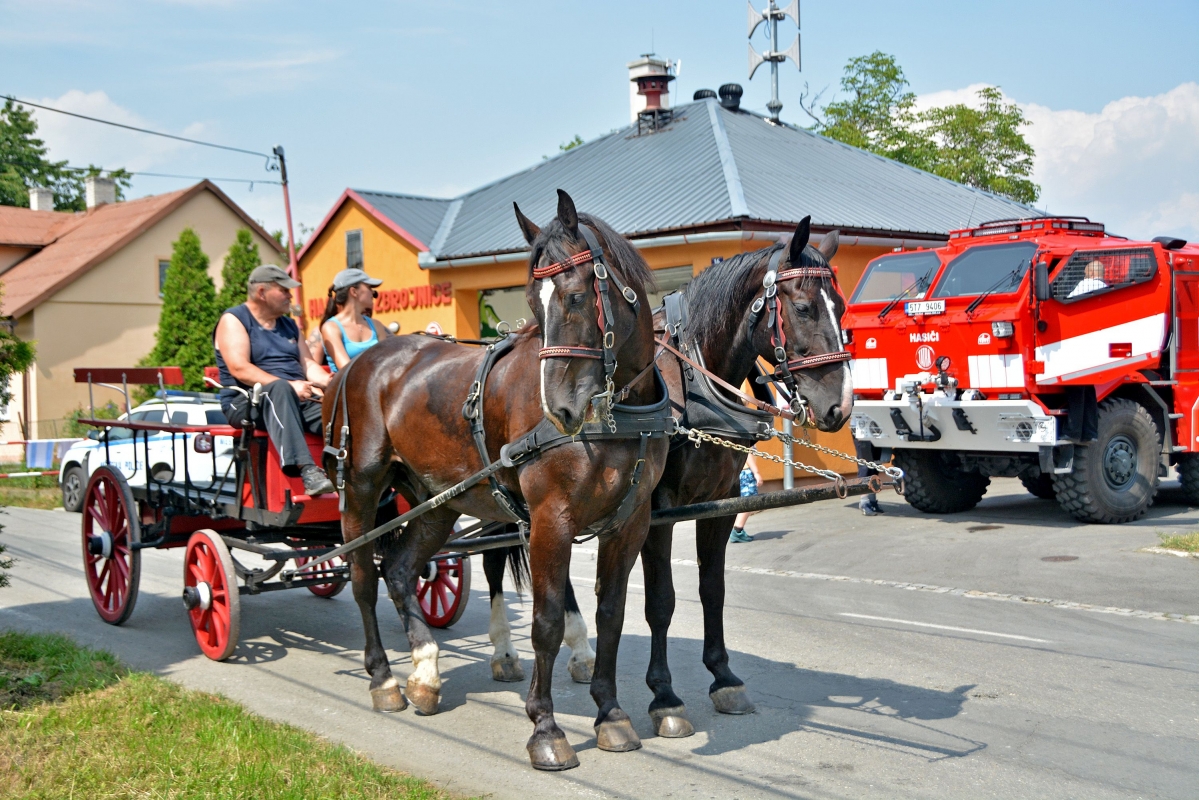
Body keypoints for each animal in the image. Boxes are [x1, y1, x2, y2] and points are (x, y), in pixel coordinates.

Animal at [323, 190, 671, 772]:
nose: (559, 410)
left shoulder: (631, 521)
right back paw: (384, 678)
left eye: (576, 297)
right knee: (364, 576)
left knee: (400, 569)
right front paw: (546, 729)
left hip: (436, 501)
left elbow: (612, 614)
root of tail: (359, 364)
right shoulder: (551, 519)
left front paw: (610, 714)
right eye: (533, 303)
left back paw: (424, 671)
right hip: (363, 488)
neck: (616, 416)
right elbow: (547, 621)